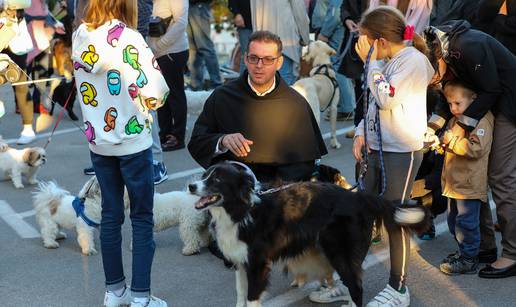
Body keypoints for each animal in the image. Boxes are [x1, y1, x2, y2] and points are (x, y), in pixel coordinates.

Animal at [187, 162, 430, 306]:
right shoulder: (240, 260)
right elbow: (240, 293)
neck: (241, 209)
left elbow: (252, 297)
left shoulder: (257, 264)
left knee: (356, 286)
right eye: (204, 175)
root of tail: (358, 197)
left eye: (217, 179)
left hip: (340, 251)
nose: (190, 186)